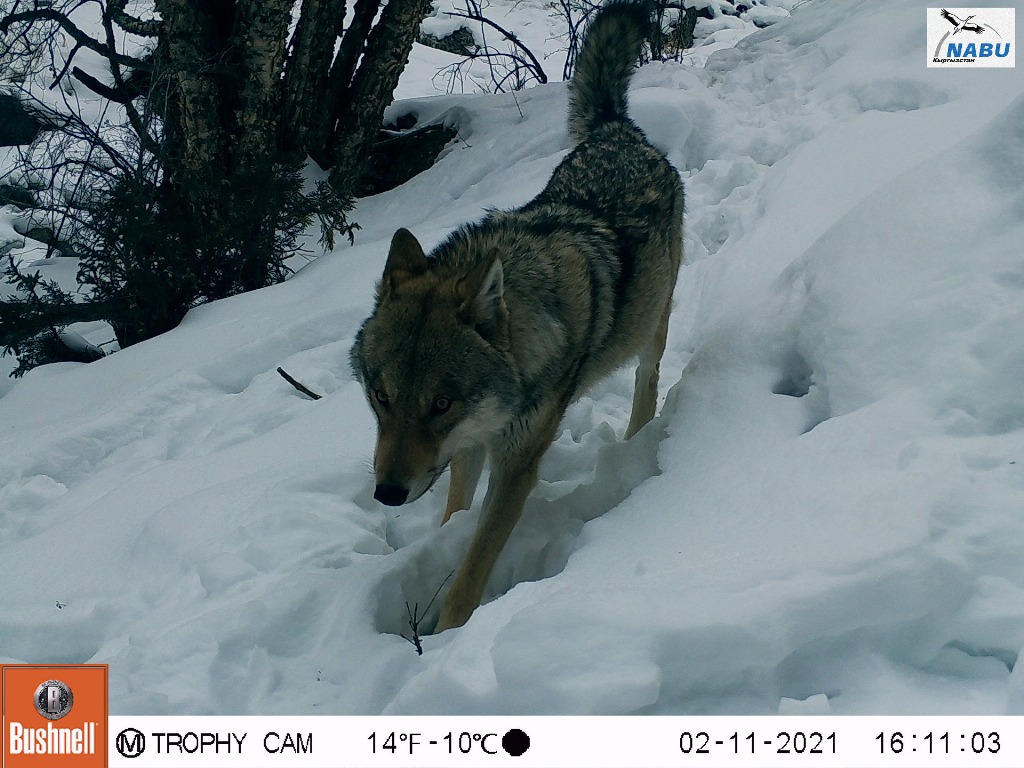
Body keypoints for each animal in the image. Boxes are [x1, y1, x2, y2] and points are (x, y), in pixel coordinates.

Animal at [350, 0, 679, 630]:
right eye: (381, 397)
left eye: (441, 403)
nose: (387, 495)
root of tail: (617, 131)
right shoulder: (470, 444)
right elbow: (454, 508)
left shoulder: (517, 464)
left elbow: (471, 575)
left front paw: (447, 636)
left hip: (653, 324)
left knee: (647, 380)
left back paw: (636, 437)